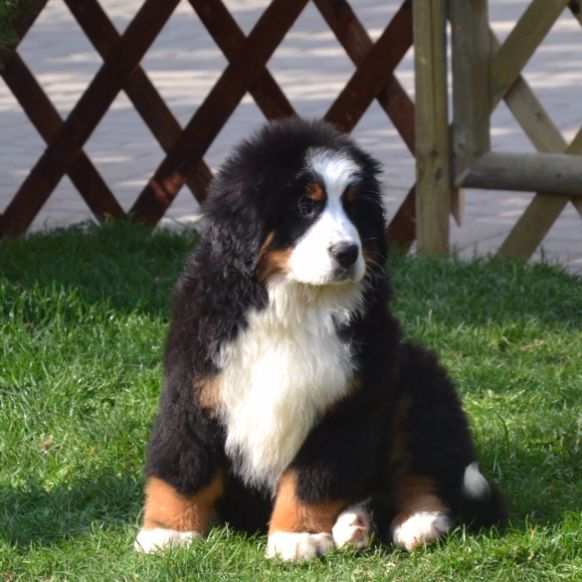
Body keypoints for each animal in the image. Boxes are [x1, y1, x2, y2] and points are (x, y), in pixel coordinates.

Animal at [136, 117, 506, 560]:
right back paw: (356, 523)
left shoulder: (343, 407)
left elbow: (311, 480)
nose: (347, 252)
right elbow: (182, 466)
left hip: (420, 385)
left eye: (354, 206)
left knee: (422, 472)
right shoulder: (196, 388)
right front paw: (168, 531)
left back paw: (418, 522)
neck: (294, 304)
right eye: (305, 205)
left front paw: (298, 536)